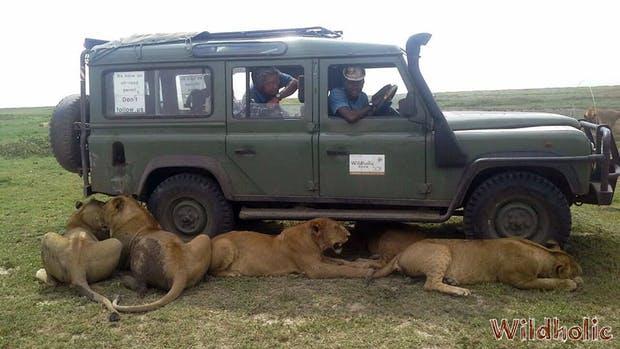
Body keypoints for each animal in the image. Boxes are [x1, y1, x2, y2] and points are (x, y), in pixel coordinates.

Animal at [211, 218, 380, 278]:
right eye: (336, 227)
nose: (349, 234)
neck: (314, 243)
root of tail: (212, 238)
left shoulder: (320, 259)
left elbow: (343, 262)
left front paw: (365, 264)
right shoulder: (315, 269)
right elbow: (342, 269)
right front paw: (366, 272)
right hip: (226, 244)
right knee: (213, 272)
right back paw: (233, 273)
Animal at [366, 237, 584, 294]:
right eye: (575, 266)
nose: (581, 269)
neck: (544, 253)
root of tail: (401, 252)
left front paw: (579, 279)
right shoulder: (520, 280)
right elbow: (547, 282)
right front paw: (571, 283)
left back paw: (452, 280)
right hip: (442, 251)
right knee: (430, 284)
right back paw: (460, 291)